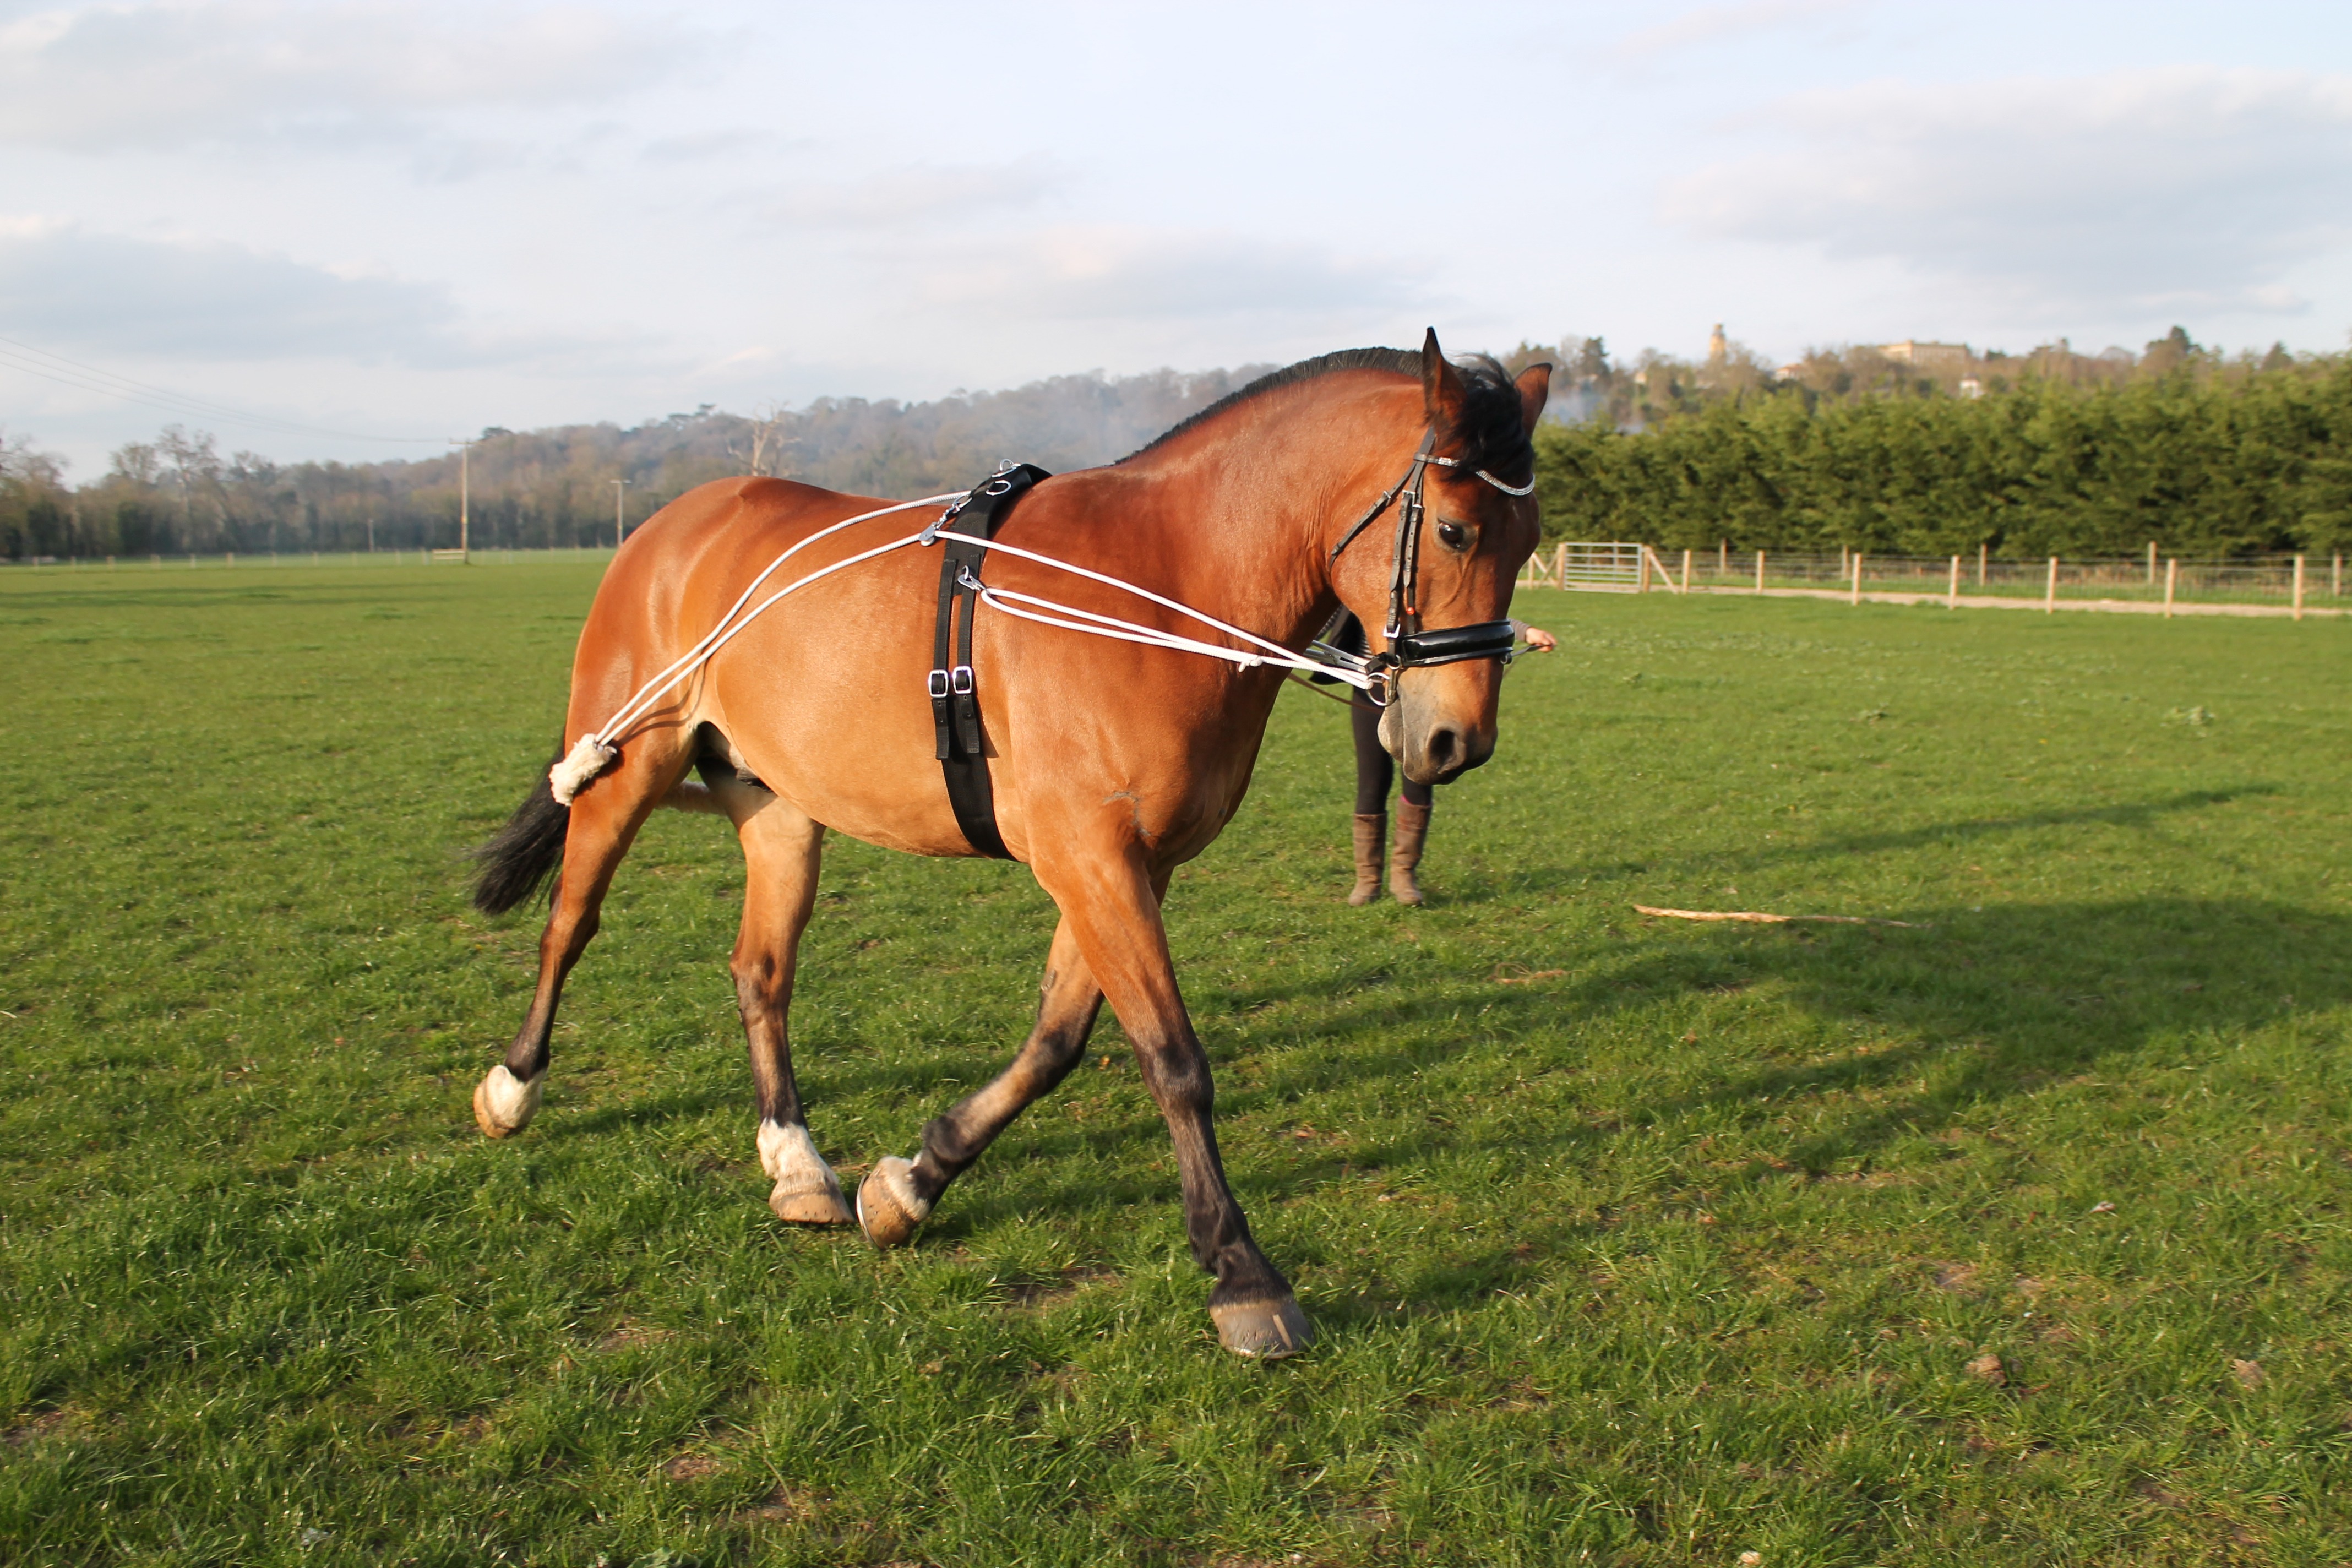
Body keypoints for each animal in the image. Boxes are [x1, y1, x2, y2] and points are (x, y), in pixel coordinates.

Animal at [467, 331, 1549, 1357]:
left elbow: (1058, 1039)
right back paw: (514, 1086)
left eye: (1531, 538)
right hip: (627, 771)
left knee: (761, 971)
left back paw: (796, 1161)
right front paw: (1242, 1273)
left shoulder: (1127, 863)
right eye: (1454, 529)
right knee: (570, 926)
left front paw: (913, 1180)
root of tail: (674, 523)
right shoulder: (1092, 854)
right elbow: (1173, 1058)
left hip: (778, 808)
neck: (1160, 582)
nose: (1455, 740)